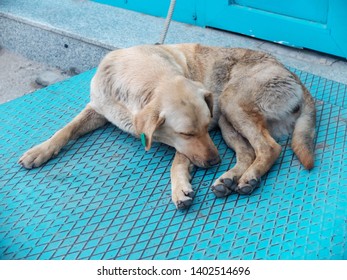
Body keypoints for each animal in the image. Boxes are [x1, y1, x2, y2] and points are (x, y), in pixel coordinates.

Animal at [19, 43, 318, 209]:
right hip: (227, 119)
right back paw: (229, 178)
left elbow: (178, 161)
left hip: (229, 104)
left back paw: (248, 178)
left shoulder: (198, 137)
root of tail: (294, 78)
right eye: (187, 132)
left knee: (268, 148)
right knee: (247, 152)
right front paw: (40, 150)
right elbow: (66, 129)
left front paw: (179, 188)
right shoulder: (97, 109)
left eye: (204, 127)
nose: (214, 162)